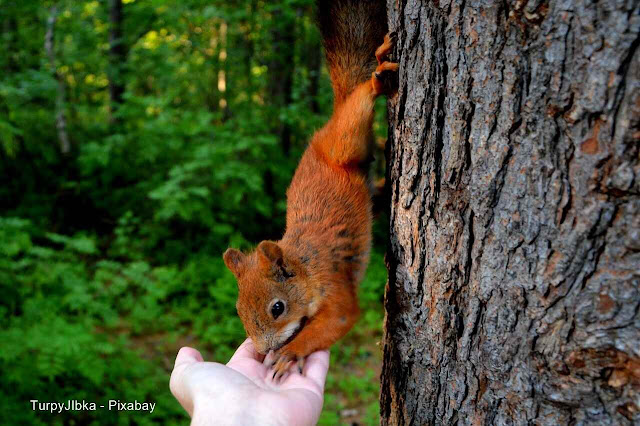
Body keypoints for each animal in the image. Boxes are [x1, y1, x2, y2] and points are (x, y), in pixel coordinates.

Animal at [224, 0, 396, 380]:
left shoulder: (332, 284)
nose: (263, 350)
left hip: (343, 142)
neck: (303, 266)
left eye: (277, 307)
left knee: (357, 108)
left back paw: (377, 75)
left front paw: (290, 354)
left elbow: (338, 318)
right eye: (239, 310)